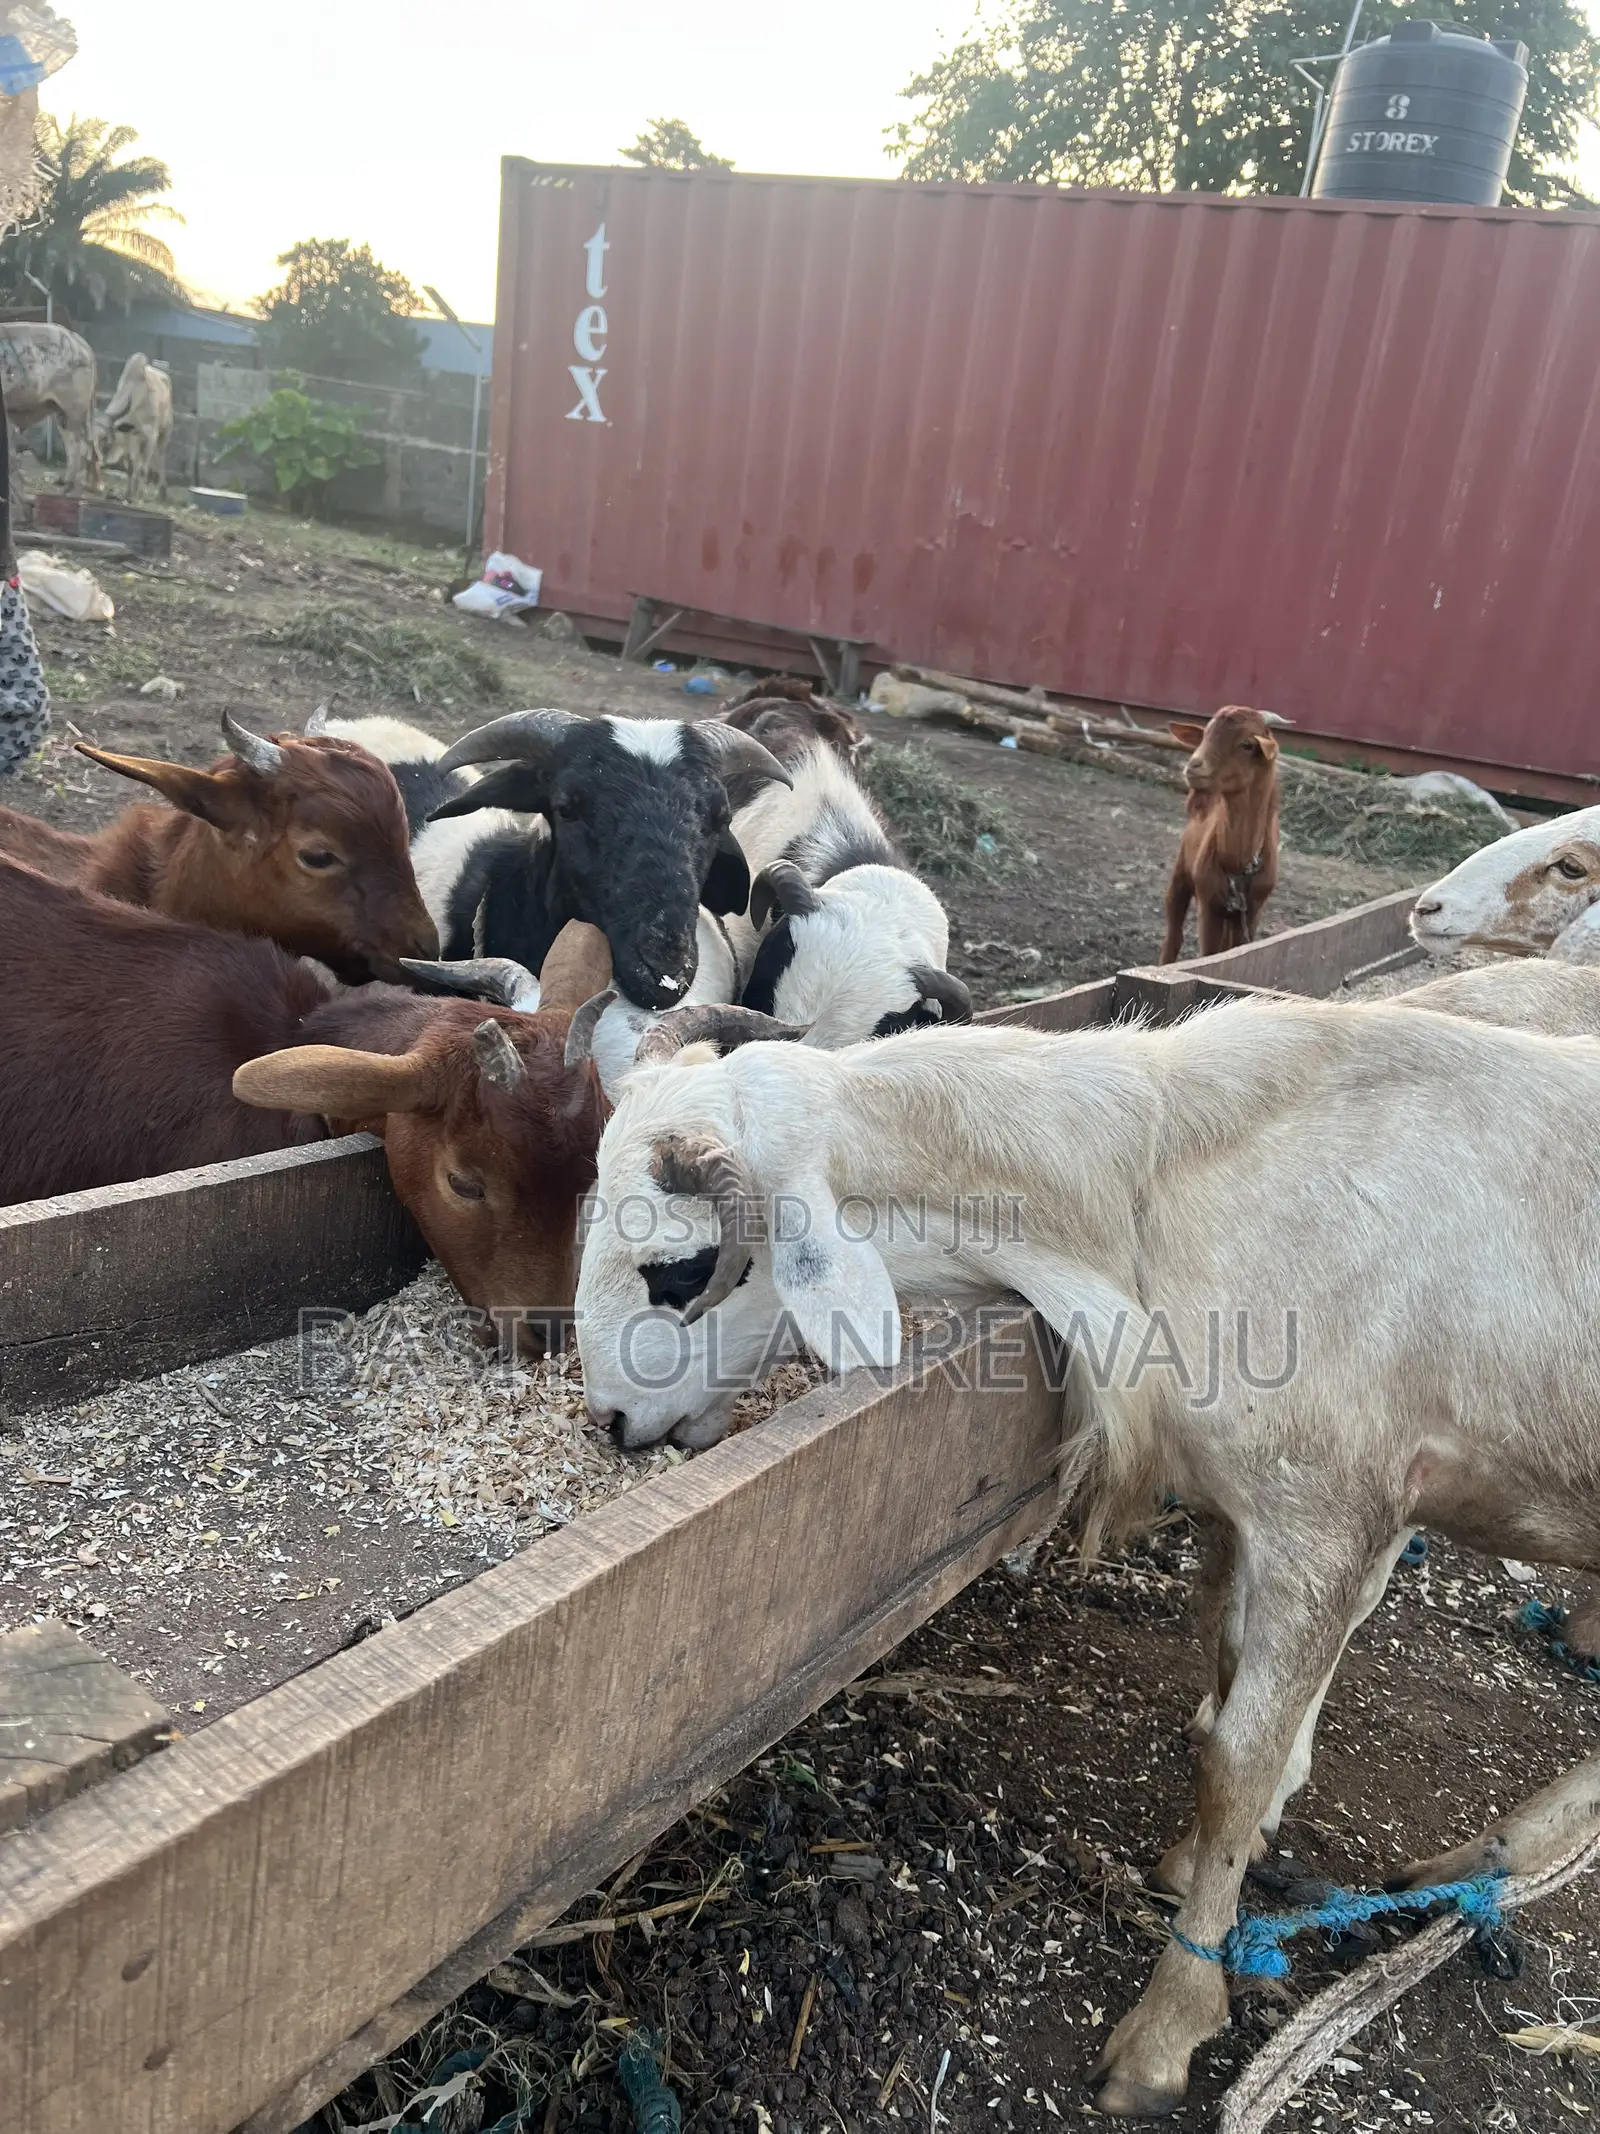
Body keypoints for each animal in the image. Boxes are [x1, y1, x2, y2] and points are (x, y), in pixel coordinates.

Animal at [573, 992, 1600, 2113]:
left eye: (678, 1271)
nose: (611, 1422)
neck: (1155, 1188)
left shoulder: (1328, 1516)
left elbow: (1237, 1758)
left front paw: (1167, 2026)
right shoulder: (1260, 1508)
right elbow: (1230, 1681)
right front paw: (1204, 1855)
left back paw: (1493, 1851)